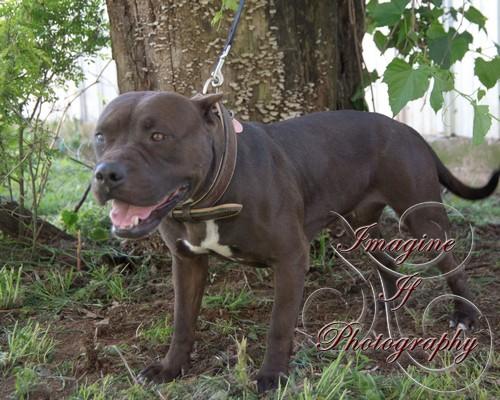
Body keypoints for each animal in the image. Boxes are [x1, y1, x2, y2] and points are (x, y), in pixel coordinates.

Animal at [92, 90, 498, 390]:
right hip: (360, 225)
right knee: (387, 261)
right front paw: (170, 367)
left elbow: (279, 325)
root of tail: (411, 132)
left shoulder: (290, 258)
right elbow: (182, 322)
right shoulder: (187, 262)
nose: (105, 173)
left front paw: (273, 376)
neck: (213, 189)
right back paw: (388, 305)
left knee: (453, 264)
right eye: (100, 136)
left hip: (421, 217)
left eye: (158, 136)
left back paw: (465, 315)